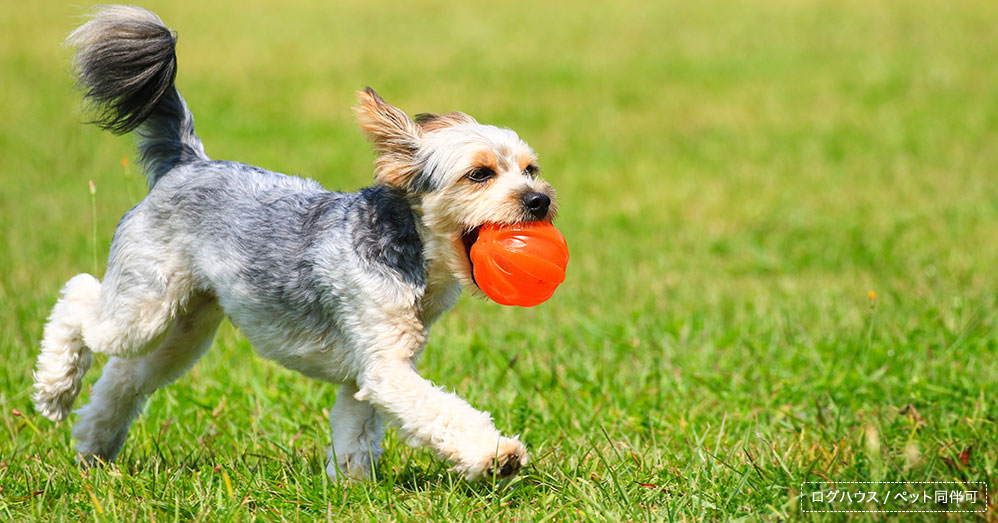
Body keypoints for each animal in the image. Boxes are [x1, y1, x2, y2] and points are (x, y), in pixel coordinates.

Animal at [33, 7, 564, 484]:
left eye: (530, 169)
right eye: (479, 173)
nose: (540, 200)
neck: (411, 254)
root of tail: (188, 162)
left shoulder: (367, 370)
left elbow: (354, 432)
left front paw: (349, 487)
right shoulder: (386, 367)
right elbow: (440, 410)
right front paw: (497, 454)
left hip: (184, 329)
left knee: (125, 375)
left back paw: (94, 447)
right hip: (146, 301)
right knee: (78, 297)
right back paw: (54, 393)